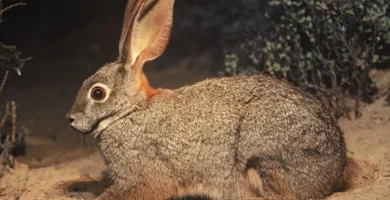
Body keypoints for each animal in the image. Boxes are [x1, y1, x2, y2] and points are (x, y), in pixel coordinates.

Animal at [66, 0, 348, 200]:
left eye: (98, 93)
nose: (70, 119)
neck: (129, 113)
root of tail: (336, 167)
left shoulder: (142, 177)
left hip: (264, 156)